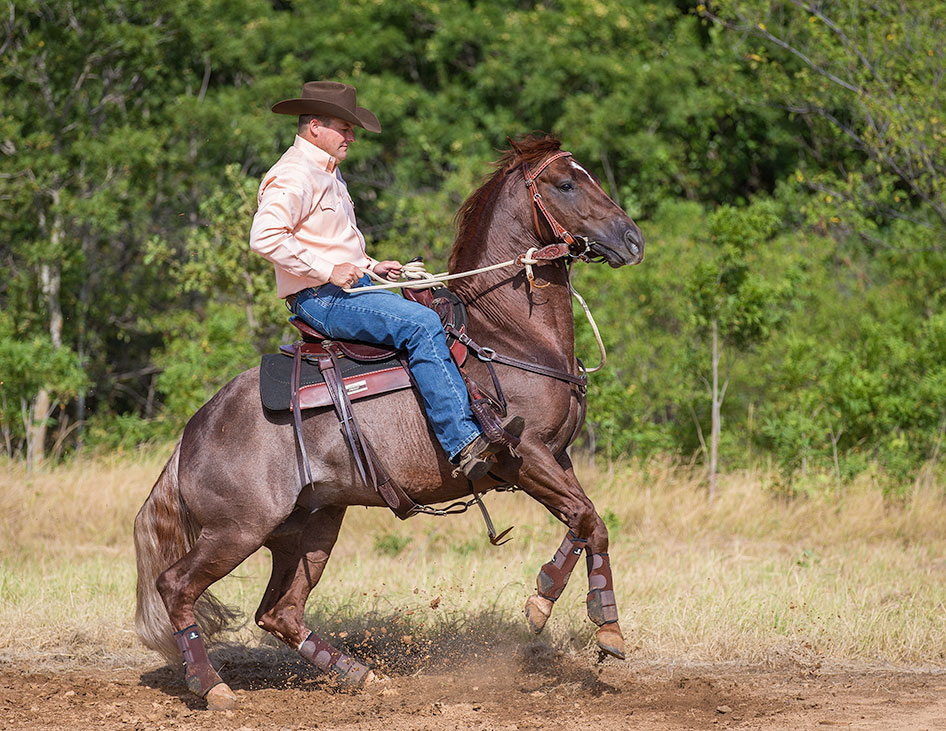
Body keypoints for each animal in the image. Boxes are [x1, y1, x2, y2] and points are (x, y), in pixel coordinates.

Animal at [133, 133, 644, 708]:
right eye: (565, 183)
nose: (632, 240)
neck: (507, 336)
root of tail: (192, 435)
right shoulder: (525, 456)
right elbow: (584, 518)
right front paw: (557, 608)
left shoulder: (558, 456)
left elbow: (589, 522)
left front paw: (596, 621)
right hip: (236, 531)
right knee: (178, 586)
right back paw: (213, 685)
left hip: (309, 527)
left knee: (280, 611)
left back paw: (360, 675)